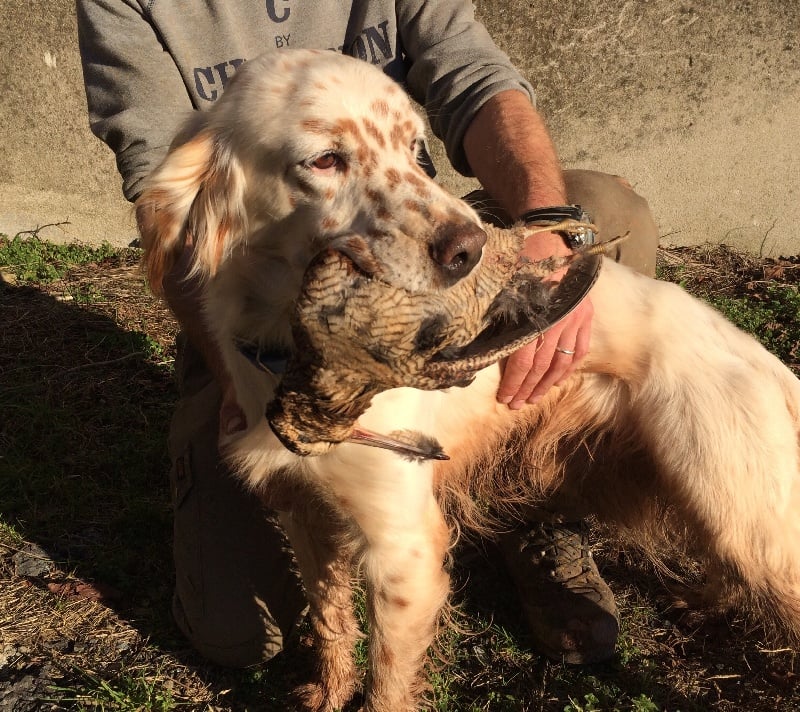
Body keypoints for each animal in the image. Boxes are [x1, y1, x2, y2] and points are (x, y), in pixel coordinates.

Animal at [138, 51, 800, 712]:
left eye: (416, 149)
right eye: (324, 160)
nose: (473, 246)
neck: (295, 347)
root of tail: (767, 362)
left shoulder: (406, 549)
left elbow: (386, 682)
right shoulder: (307, 514)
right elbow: (331, 620)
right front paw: (327, 692)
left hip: (744, 515)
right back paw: (705, 602)